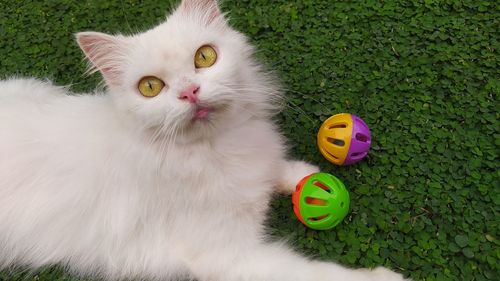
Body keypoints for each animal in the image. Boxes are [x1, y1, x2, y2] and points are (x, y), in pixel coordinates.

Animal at [0, 0, 408, 280]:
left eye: (205, 56)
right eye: (150, 87)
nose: (189, 92)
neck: (215, 147)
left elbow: (277, 168)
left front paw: (305, 179)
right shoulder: (229, 257)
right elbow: (314, 273)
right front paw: (384, 278)